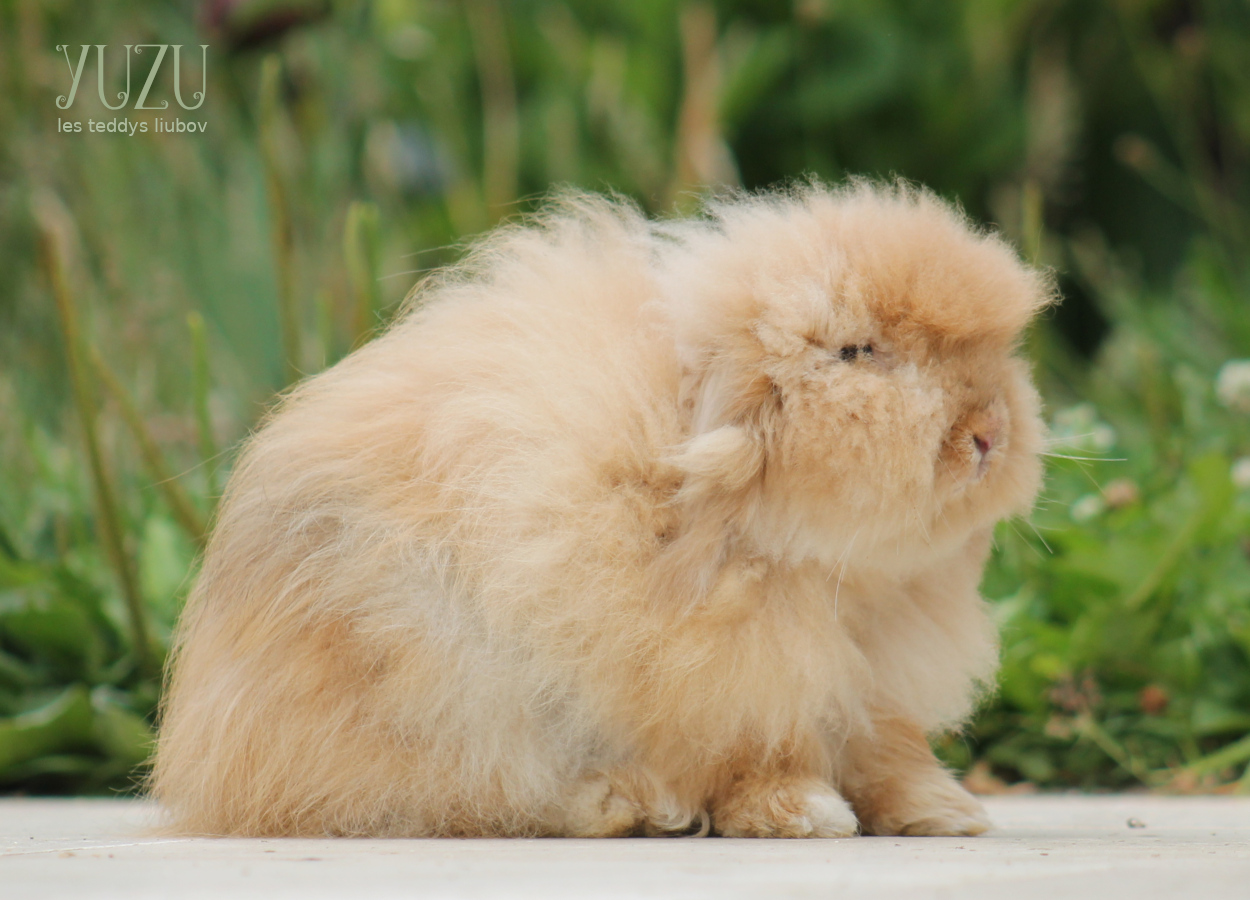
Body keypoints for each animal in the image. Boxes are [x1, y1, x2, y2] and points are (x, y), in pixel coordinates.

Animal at [150, 180, 1053, 838]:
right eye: (856, 352)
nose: (989, 433)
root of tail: (202, 757)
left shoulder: (871, 677)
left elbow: (888, 755)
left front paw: (948, 813)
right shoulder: (735, 673)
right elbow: (763, 752)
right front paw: (804, 814)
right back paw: (628, 803)